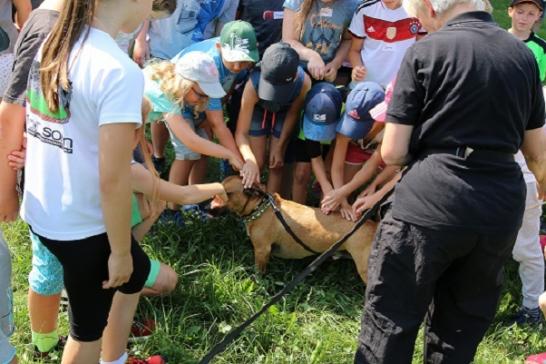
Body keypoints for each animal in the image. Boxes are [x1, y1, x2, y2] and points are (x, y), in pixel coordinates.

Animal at [210, 178, 376, 282]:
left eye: (225, 193)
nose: (206, 207)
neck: (260, 208)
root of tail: (373, 225)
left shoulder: (262, 250)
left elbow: (259, 271)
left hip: (365, 269)